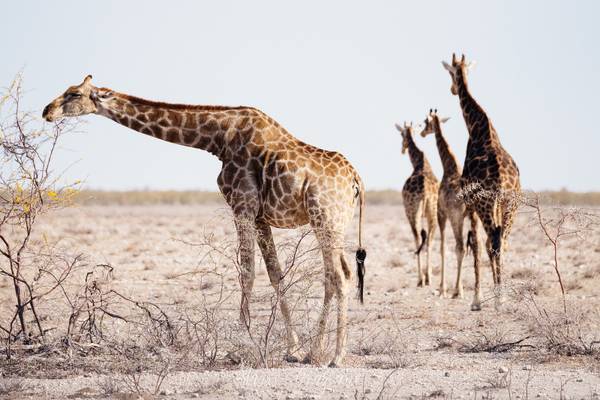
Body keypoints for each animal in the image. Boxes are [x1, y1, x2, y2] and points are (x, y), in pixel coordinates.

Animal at [43, 76, 366, 368]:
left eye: (73, 93)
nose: (47, 110)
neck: (217, 139)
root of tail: (356, 180)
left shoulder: (242, 206)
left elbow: (246, 272)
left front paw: (241, 343)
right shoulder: (260, 216)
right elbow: (276, 274)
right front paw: (293, 350)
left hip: (325, 219)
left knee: (338, 276)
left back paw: (335, 356)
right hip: (332, 224)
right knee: (338, 274)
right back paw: (316, 352)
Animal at [396, 122, 438, 288]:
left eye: (401, 134)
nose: (402, 149)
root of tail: (425, 190)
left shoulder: (408, 211)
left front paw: (422, 278)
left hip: (413, 212)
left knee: (418, 237)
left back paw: (421, 279)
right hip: (433, 210)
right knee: (431, 238)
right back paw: (429, 278)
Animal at [440, 53, 520, 310]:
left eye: (450, 73)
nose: (452, 89)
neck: (476, 127)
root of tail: (503, 181)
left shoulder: (472, 204)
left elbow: (475, 246)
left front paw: (477, 298)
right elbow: (483, 245)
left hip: (487, 205)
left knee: (492, 242)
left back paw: (495, 299)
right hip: (510, 205)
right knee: (501, 241)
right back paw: (501, 295)